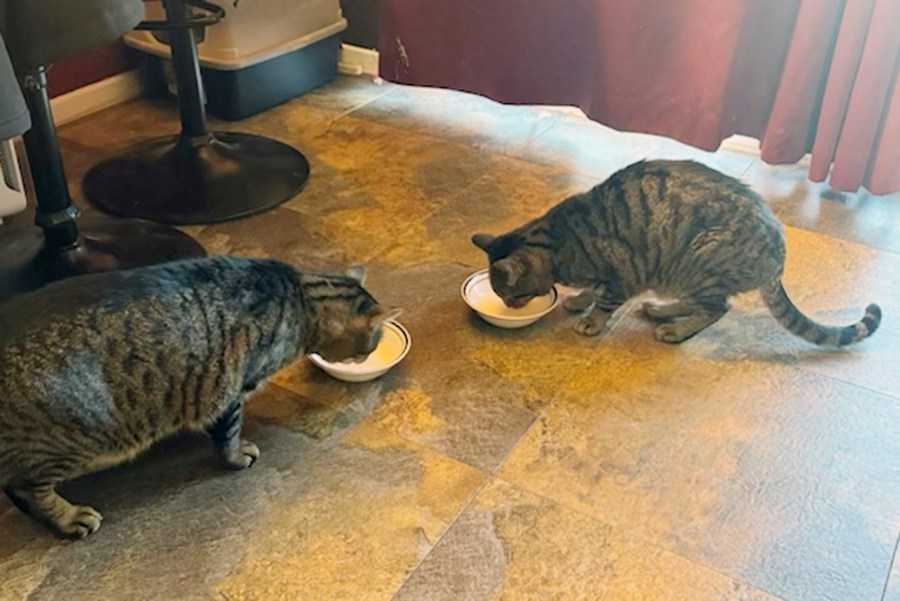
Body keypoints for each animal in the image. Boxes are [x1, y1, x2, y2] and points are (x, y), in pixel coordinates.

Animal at [0, 255, 400, 536]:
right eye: (373, 339)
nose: (366, 355)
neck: (300, 297)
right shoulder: (232, 391)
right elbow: (229, 435)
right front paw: (237, 456)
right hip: (78, 441)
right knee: (23, 487)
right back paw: (69, 519)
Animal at [472, 159, 880, 344]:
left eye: (512, 295)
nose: (507, 306)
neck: (562, 242)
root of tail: (777, 254)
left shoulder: (623, 271)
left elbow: (605, 301)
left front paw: (591, 319)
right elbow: (593, 290)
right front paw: (580, 300)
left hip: (700, 260)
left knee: (718, 309)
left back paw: (675, 328)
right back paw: (661, 309)